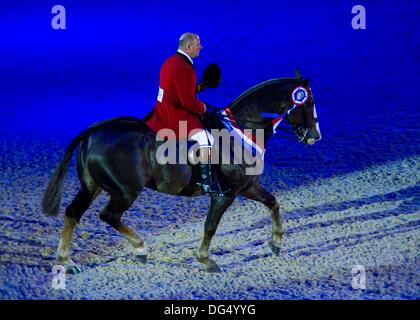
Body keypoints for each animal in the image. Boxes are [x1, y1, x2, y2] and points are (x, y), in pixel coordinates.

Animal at [41, 71, 322, 274]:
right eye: (308, 103)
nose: (315, 136)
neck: (240, 130)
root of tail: (94, 130)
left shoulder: (246, 187)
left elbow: (273, 203)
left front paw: (276, 243)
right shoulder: (225, 194)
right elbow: (210, 226)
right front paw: (206, 260)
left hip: (92, 186)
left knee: (73, 213)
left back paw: (66, 261)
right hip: (125, 191)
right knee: (108, 215)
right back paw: (140, 248)